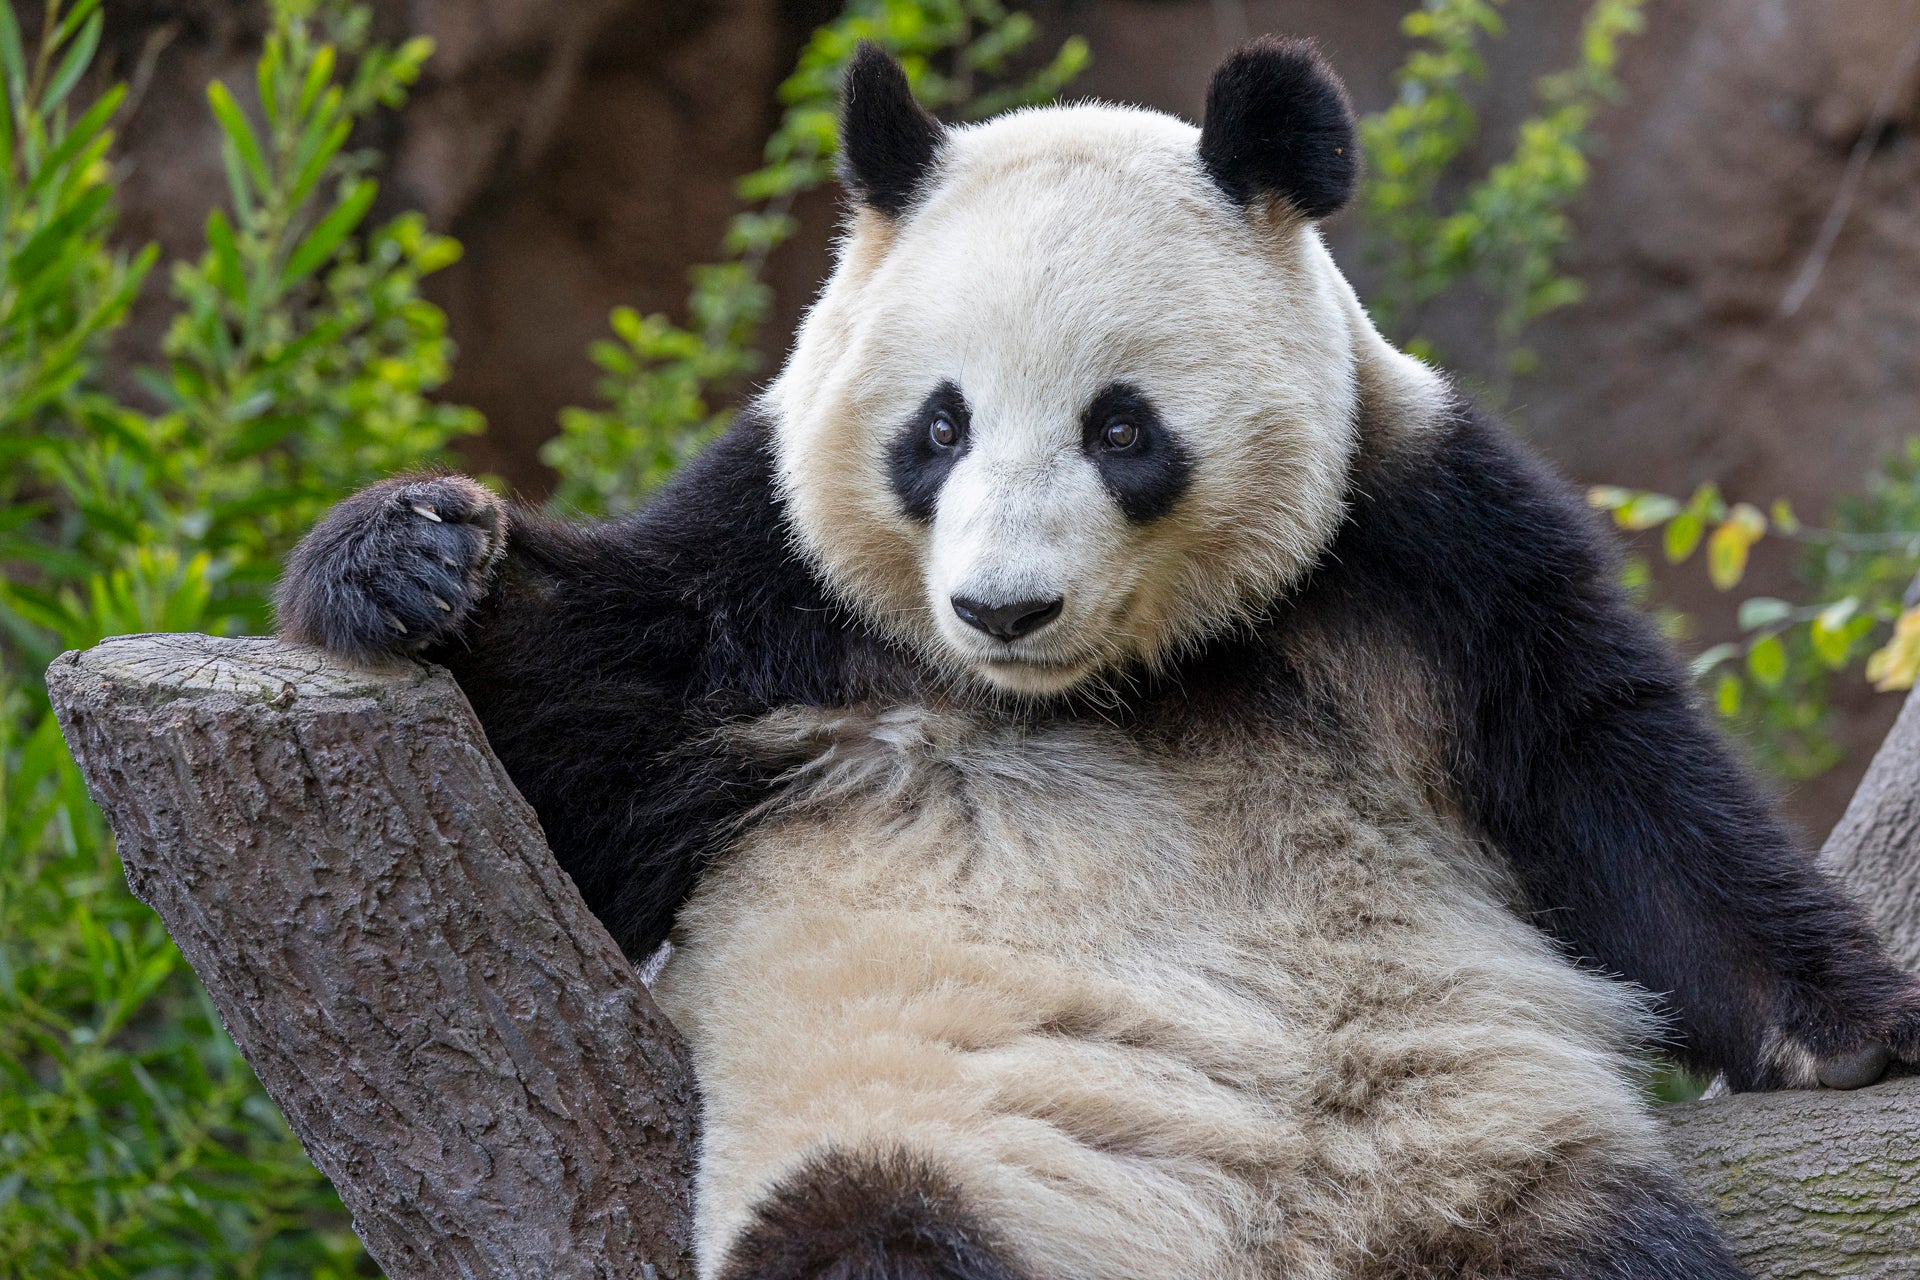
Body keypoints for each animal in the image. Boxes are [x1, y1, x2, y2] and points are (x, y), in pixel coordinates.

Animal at [279, 38, 1920, 1280]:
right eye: (938, 427)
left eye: (1122, 428)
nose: (1002, 609)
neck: (1121, 683)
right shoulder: (771, 604)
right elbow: (587, 744)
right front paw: (410, 554)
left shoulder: (1413, 540)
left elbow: (1604, 763)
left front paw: (1854, 1034)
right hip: (941, 1146)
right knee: (867, 1237)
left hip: (1483, 1152)